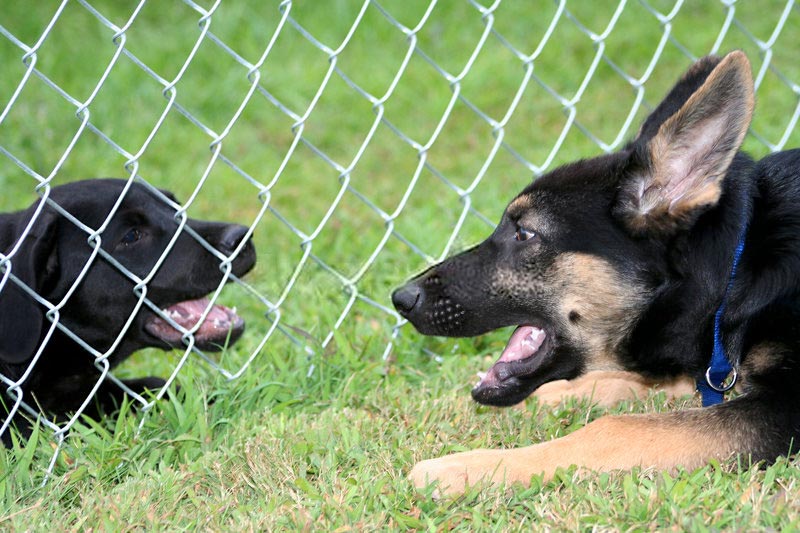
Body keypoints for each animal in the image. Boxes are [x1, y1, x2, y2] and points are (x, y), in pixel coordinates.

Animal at [392, 51, 800, 494]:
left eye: (524, 233)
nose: (402, 299)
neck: (734, 275)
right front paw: (567, 392)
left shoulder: (784, 407)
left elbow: (617, 428)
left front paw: (467, 467)